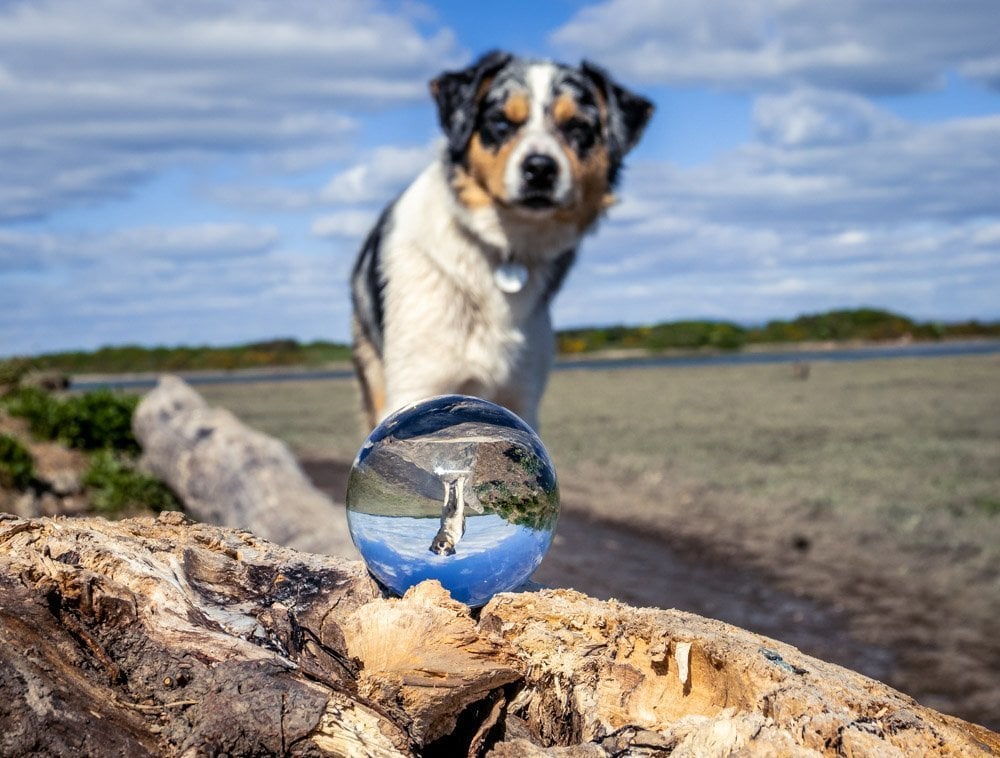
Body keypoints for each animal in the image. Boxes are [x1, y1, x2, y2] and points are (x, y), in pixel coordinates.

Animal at [348, 52, 652, 434]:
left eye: (578, 128)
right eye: (501, 122)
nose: (540, 168)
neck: (507, 248)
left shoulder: (521, 394)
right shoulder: (416, 382)